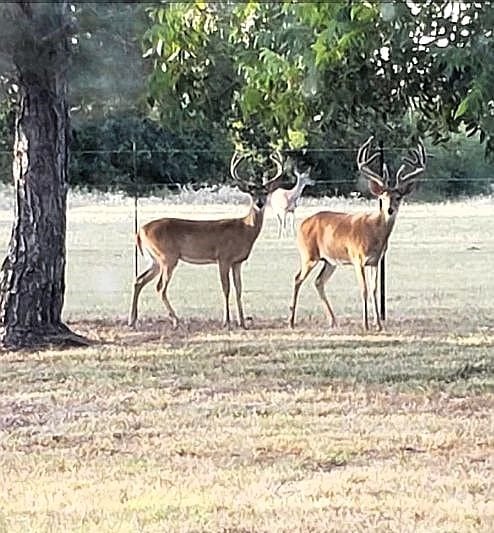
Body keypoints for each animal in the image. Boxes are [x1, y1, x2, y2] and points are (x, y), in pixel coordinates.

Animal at [127, 150, 284, 328]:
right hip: (167, 257)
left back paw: (132, 320)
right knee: (160, 287)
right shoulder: (223, 257)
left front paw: (243, 322)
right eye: (252, 193)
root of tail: (140, 231)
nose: (260, 203)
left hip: (155, 259)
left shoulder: (237, 262)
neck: (244, 229)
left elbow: (239, 289)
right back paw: (175, 320)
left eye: (265, 192)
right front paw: (226, 321)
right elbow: (226, 288)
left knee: (138, 280)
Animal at [290, 135, 424, 330]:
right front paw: (366, 324)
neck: (375, 234)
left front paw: (378, 324)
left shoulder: (375, 261)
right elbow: (364, 289)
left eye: (398, 197)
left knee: (318, 281)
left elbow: (374, 289)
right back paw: (291, 321)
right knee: (297, 278)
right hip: (308, 254)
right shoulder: (357, 257)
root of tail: (302, 225)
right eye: (382, 197)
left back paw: (333, 320)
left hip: (329, 260)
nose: (390, 210)